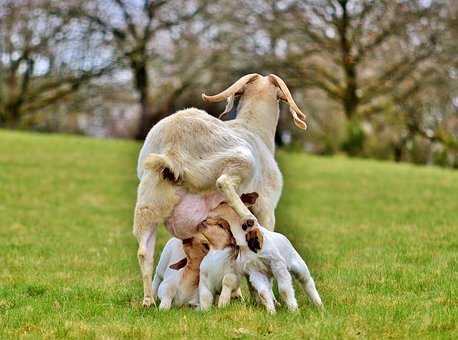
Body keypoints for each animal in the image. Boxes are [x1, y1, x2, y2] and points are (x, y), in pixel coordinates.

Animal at [132, 73, 306, 306]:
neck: (254, 130)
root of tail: (173, 148)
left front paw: (238, 294)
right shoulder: (267, 208)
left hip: (149, 200)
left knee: (144, 252)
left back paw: (148, 300)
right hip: (237, 158)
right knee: (223, 181)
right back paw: (247, 217)